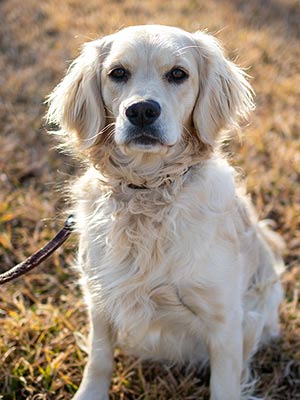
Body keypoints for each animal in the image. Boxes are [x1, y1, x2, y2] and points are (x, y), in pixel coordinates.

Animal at [46, 25, 284, 400]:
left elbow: (224, 383)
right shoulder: (99, 297)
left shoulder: (225, 320)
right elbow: (99, 359)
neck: (149, 190)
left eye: (178, 74)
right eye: (118, 73)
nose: (142, 111)